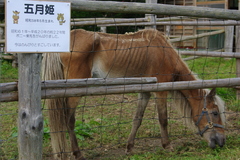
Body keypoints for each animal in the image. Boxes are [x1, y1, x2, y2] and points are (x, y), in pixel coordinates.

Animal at [42, 29, 226, 160]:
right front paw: (167, 145)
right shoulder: (160, 91)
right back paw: (77, 153)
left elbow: (137, 119)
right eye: (215, 113)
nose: (222, 141)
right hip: (75, 91)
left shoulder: (144, 93)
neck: (164, 52)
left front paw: (129, 147)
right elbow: (163, 119)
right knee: (68, 120)